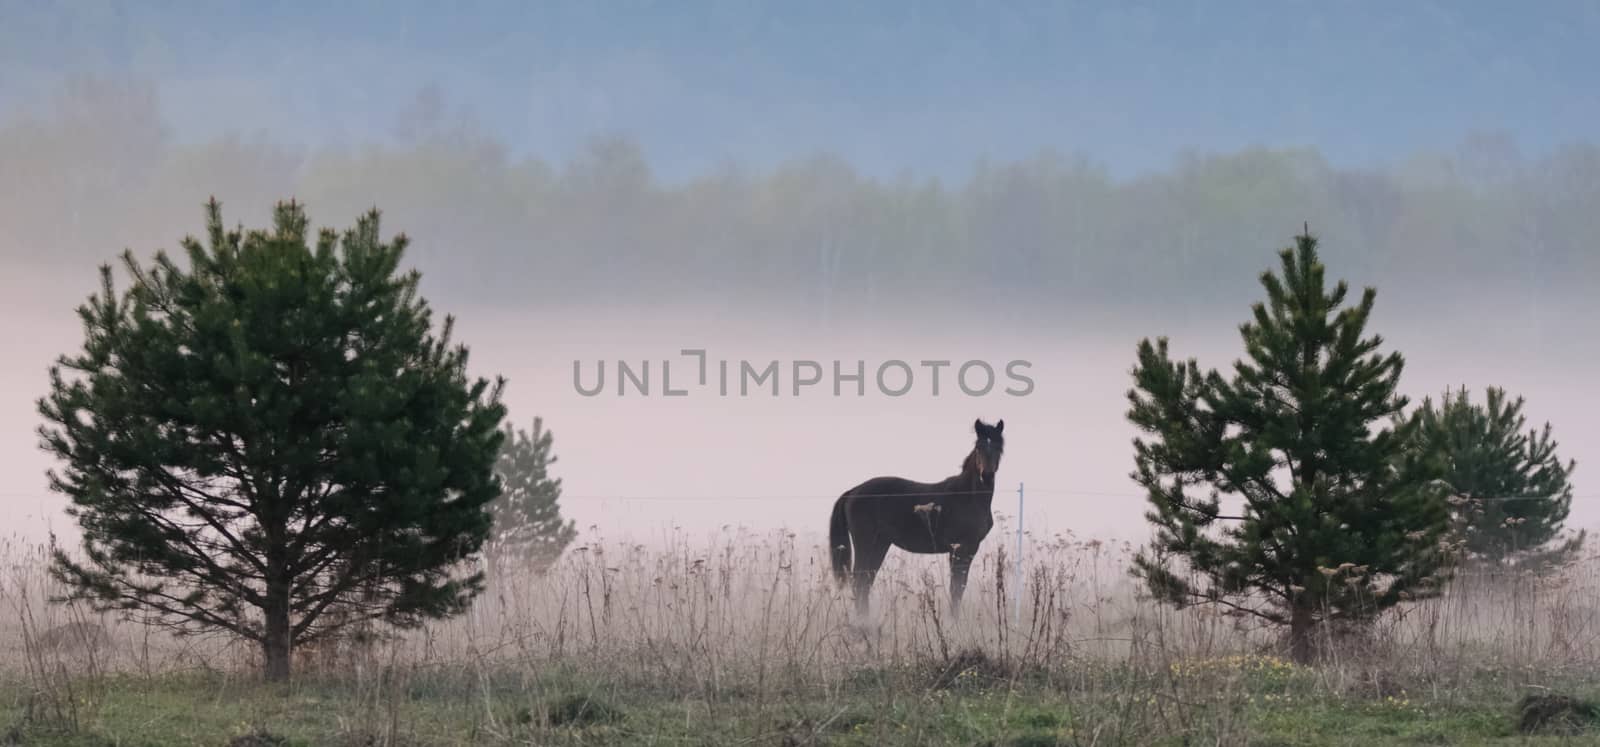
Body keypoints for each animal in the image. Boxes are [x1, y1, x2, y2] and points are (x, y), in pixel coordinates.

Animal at [832, 422, 1004, 620]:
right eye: (978, 447)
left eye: (999, 447)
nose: (987, 476)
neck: (968, 496)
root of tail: (852, 491)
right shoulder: (960, 548)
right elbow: (956, 588)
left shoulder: (968, 549)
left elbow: (959, 587)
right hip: (866, 544)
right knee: (860, 583)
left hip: (879, 545)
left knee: (865, 582)